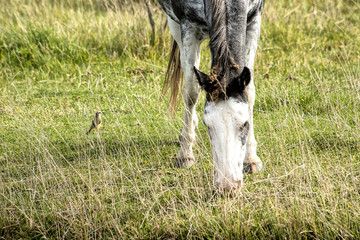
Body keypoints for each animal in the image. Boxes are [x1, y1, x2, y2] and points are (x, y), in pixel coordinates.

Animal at [159, 0, 266, 191]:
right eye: (208, 126)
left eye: (245, 124)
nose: (227, 186)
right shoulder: (188, 26)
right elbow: (191, 91)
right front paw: (185, 155)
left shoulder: (254, 20)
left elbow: (250, 91)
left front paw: (251, 159)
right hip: (175, 24)